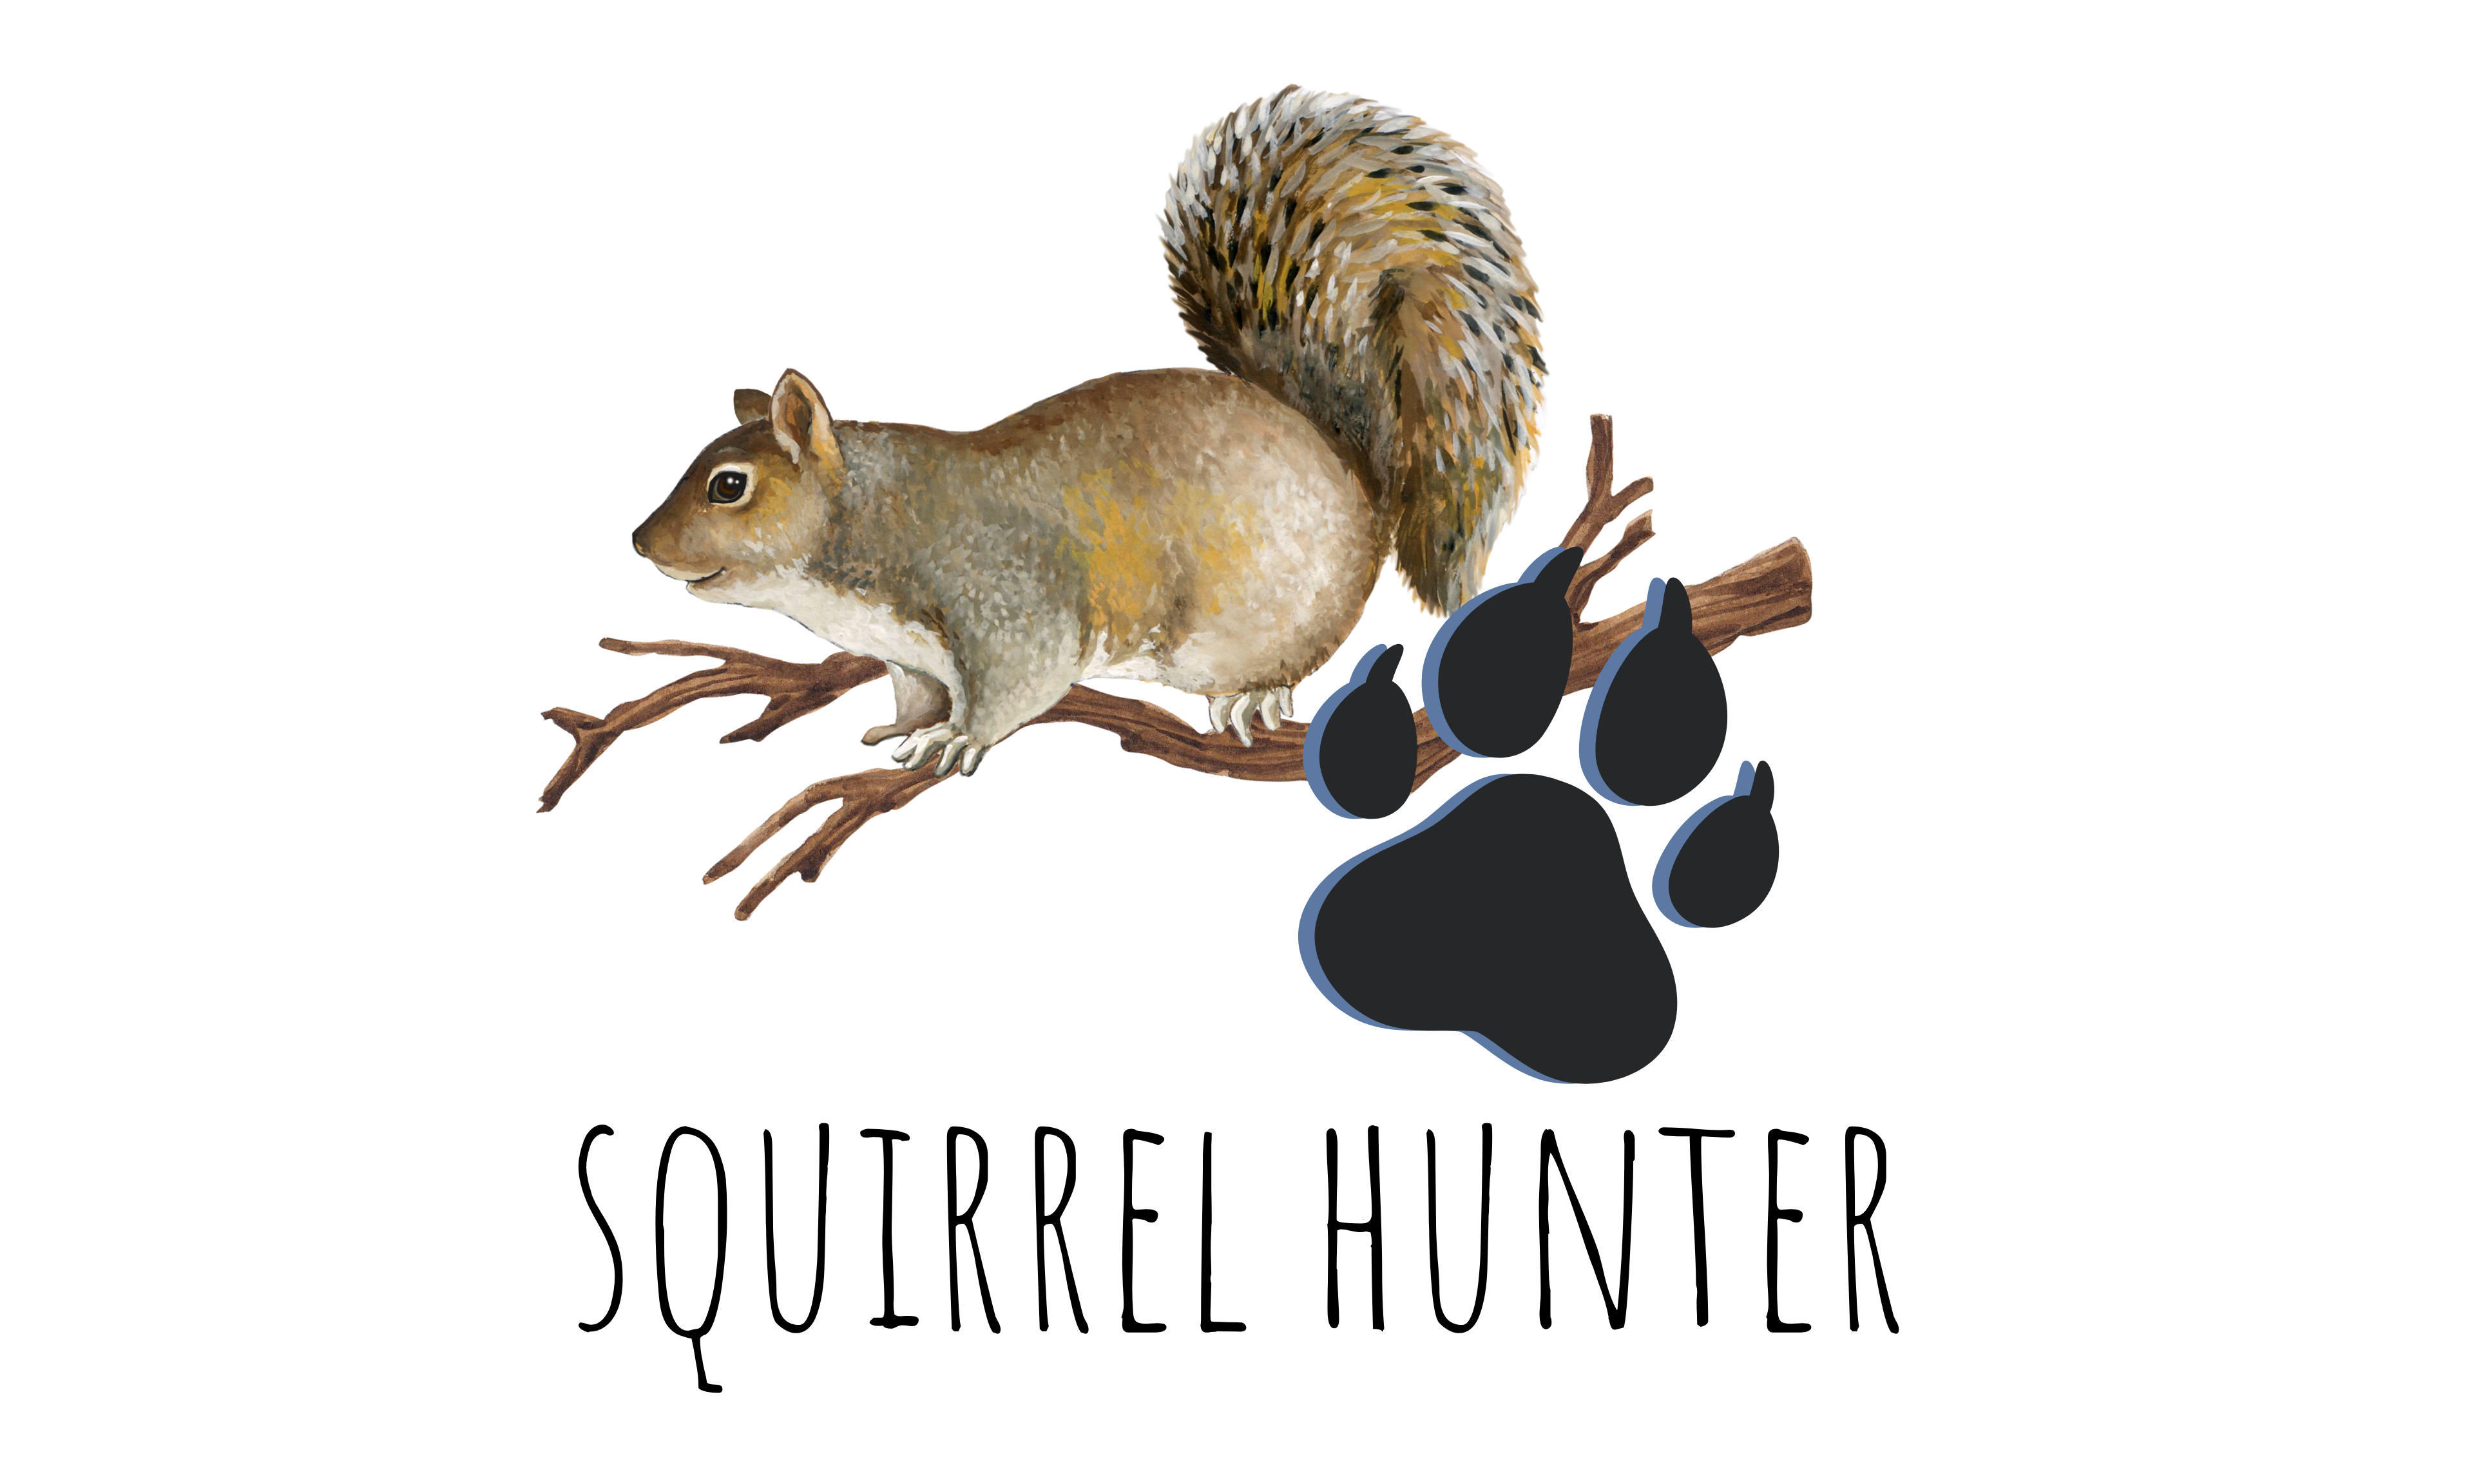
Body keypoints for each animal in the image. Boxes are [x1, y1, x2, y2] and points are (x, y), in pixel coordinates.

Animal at [631, 83, 1549, 779]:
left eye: (729, 486)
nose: (641, 544)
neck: (872, 521)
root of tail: (1358, 481)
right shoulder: (910, 656)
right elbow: (917, 693)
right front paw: (905, 727)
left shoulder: (1004, 600)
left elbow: (1012, 681)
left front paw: (957, 739)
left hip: (1278, 612)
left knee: (1296, 659)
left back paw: (1255, 695)